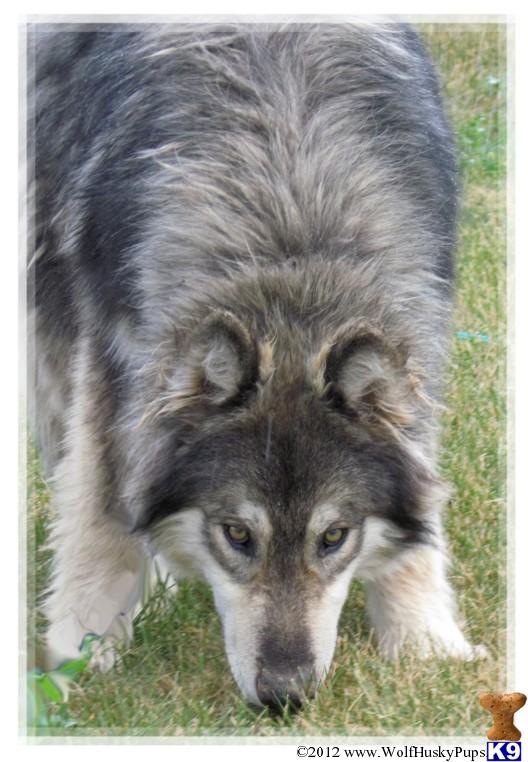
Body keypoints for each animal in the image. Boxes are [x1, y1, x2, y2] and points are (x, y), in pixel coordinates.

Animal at [28, 22, 485, 709]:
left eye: (334, 537)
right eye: (237, 535)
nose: (284, 696)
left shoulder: (420, 346)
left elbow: (421, 507)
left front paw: (425, 646)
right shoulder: (114, 362)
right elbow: (103, 515)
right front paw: (81, 655)